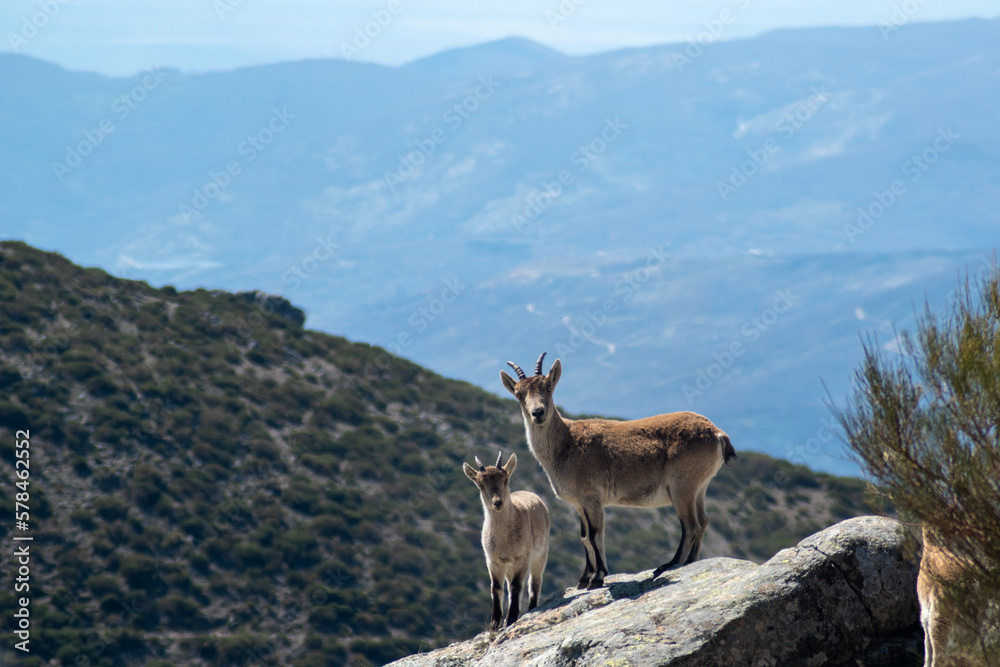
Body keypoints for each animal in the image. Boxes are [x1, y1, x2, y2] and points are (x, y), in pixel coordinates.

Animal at [463, 451, 550, 631]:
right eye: (481, 485)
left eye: (505, 480)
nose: (497, 502)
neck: (504, 541)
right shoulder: (493, 561)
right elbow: (496, 588)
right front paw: (495, 623)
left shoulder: (522, 558)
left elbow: (517, 585)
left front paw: (511, 618)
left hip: (541, 554)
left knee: (534, 582)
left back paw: (532, 608)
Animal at [500, 353, 736, 589]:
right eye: (519, 394)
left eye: (548, 386)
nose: (537, 413)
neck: (566, 444)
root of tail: (718, 434)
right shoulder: (579, 504)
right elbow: (584, 537)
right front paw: (584, 580)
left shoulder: (592, 498)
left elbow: (595, 536)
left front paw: (598, 577)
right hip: (699, 487)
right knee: (703, 520)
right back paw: (689, 561)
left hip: (681, 486)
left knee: (691, 525)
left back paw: (669, 565)